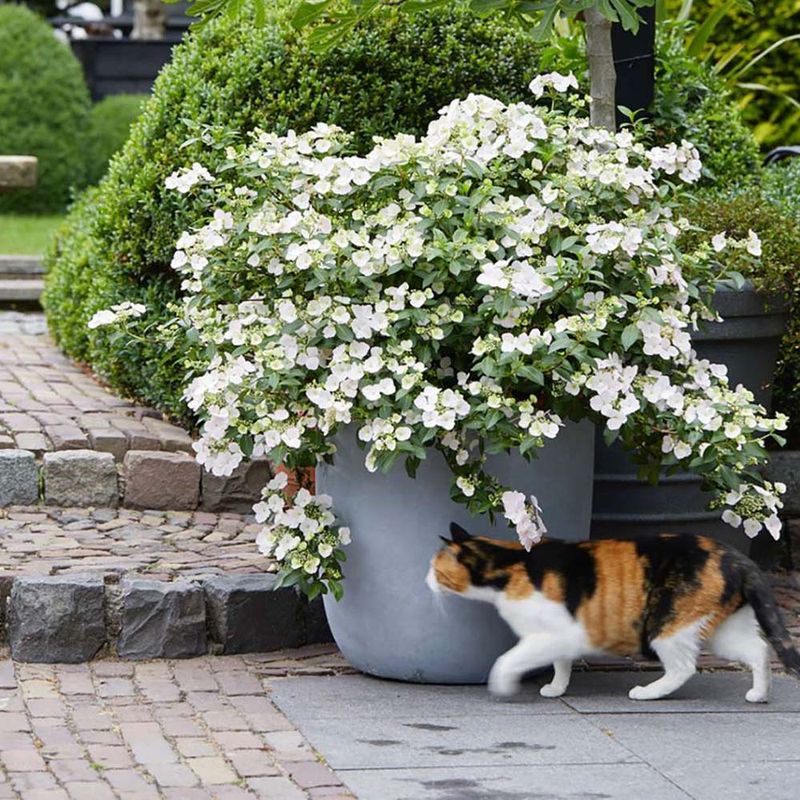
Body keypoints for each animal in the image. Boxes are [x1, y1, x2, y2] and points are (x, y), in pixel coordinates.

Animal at [428, 528, 800, 704]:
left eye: (436, 569)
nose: (426, 579)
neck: (512, 562)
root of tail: (737, 557)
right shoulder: (560, 636)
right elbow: (561, 663)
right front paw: (557, 688)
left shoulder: (558, 633)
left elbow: (508, 659)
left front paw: (502, 684)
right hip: (723, 630)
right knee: (758, 650)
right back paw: (760, 694)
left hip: (669, 626)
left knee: (683, 668)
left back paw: (647, 693)